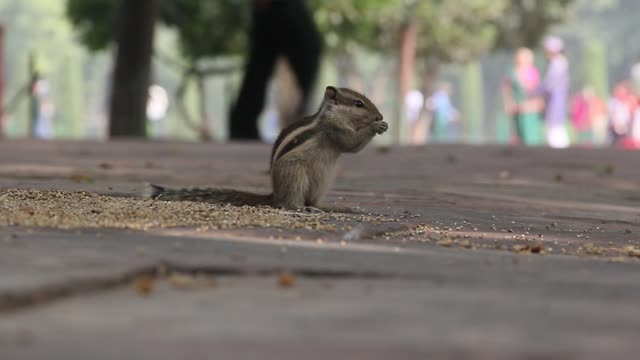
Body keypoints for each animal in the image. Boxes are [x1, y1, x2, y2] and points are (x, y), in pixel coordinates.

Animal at [148, 86, 388, 212]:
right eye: (358, 104)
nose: (380, 116)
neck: (330, 114)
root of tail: (274, 194)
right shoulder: (334, 128)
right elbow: (350, 143)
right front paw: (375, 127)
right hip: (295, 174)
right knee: (290, 203)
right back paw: (303, 208)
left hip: (324, 182)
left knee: (314, 200)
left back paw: (332, 207)